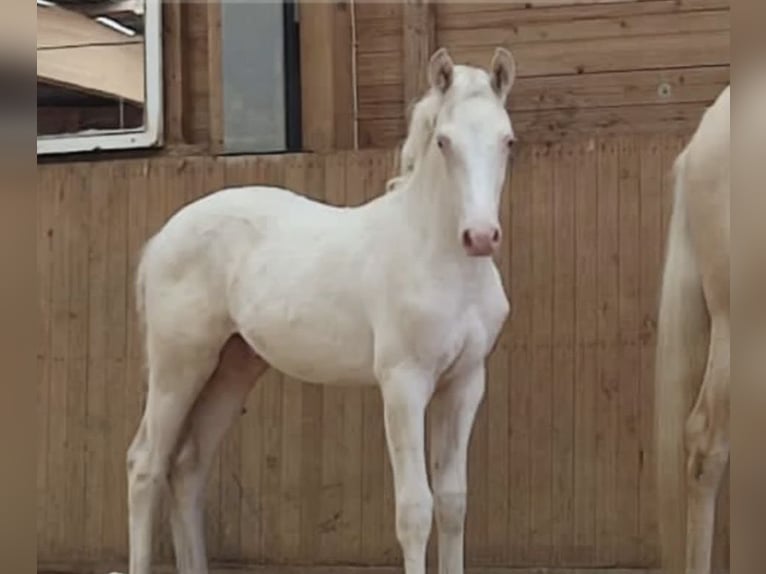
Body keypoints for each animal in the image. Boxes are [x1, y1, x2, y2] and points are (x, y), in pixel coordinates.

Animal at [121, 46, 518, 574]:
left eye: (507, 140)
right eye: (444, 142)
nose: (480, 236)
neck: (436, 257)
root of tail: (163, 237)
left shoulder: (465, 383)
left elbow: (453, 503)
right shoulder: (404, 384)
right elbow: (415, 509)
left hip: (232, 368)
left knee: (187, 467)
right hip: (179, 365)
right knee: (146, 464)